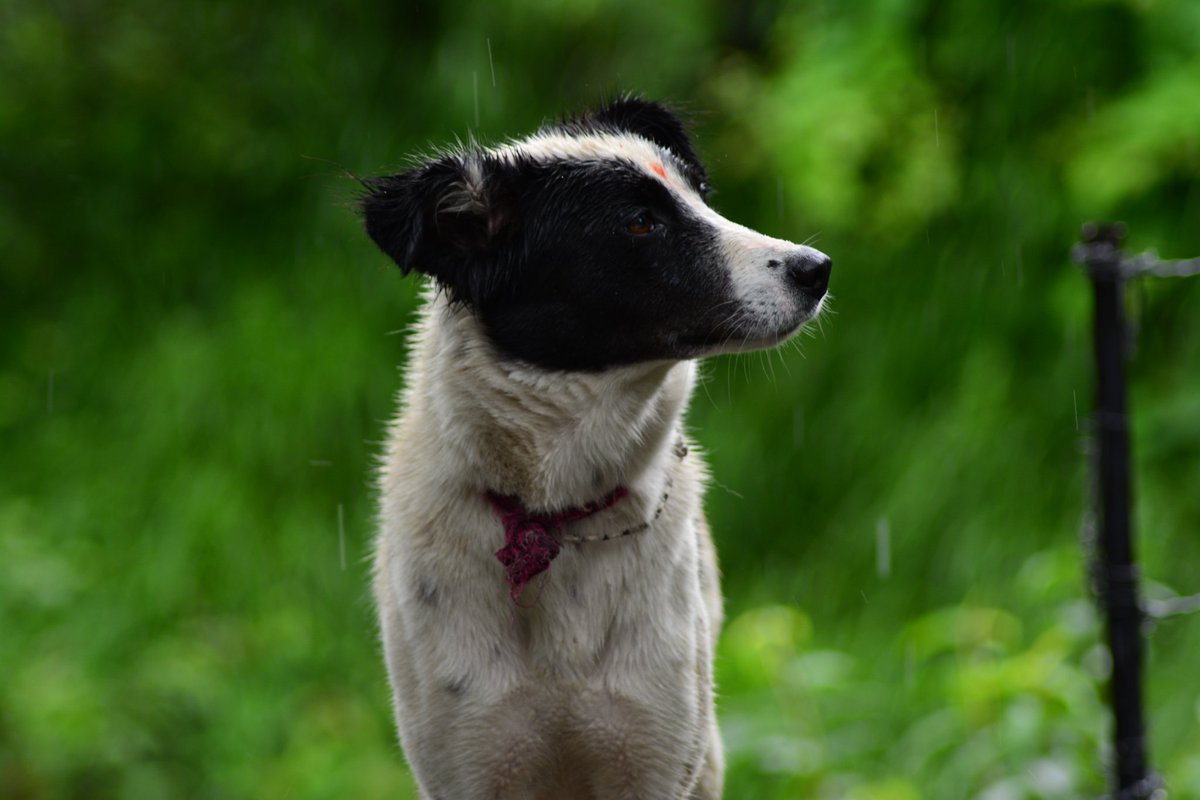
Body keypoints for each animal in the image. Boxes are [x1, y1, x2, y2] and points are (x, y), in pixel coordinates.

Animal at [361, 97, 830, 800]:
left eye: (700, 196)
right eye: (640, 222)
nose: (817, 268)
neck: (556, 515)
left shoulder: (654, 754)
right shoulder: (471, 759)